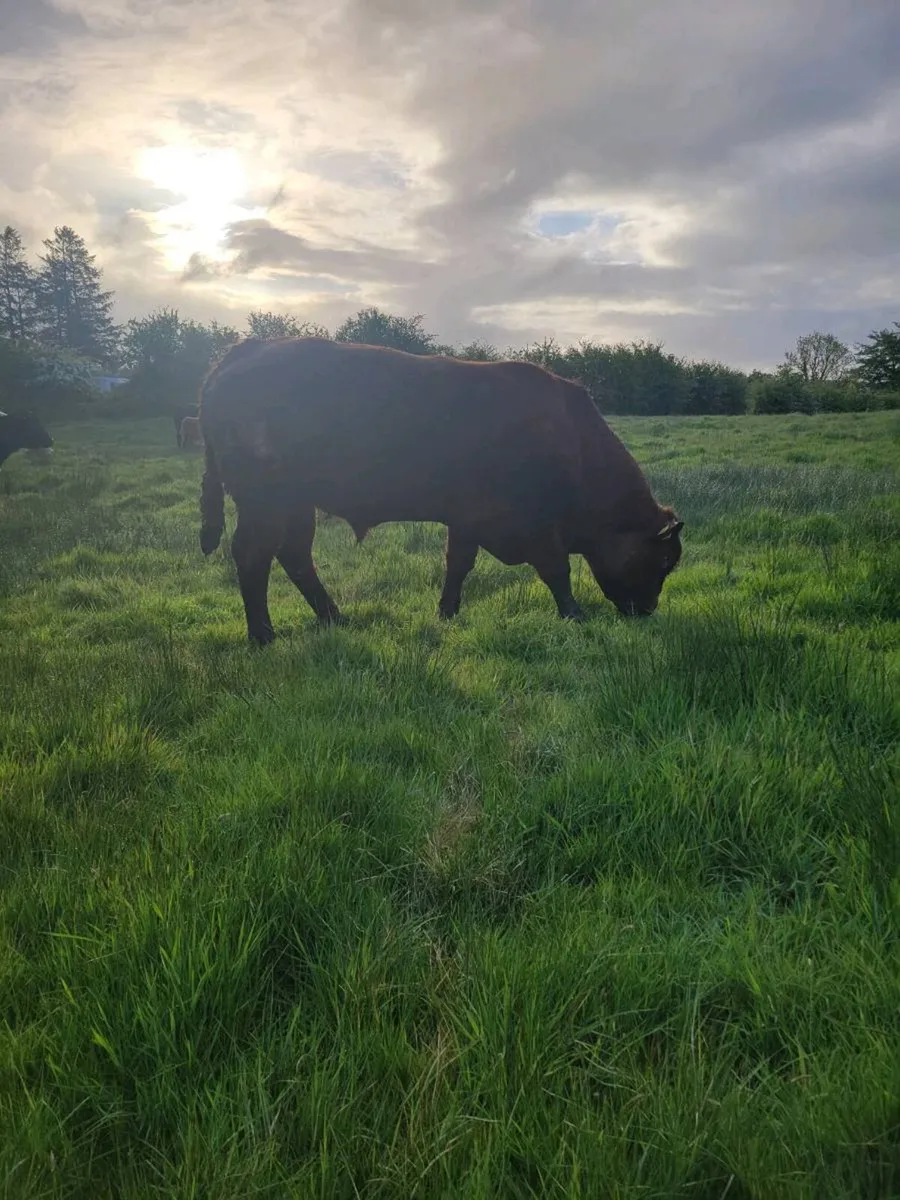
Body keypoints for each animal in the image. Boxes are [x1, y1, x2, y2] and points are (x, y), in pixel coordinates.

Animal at [198, 337, 684, 645]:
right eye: (663, 561)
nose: (648, 610)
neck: (573, 443)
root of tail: (246, 351)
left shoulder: (468, 519)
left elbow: (458, 565)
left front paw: (447, 612)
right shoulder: (537, 526)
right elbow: (556, 570)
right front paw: (574, 615)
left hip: (297, 504)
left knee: (295, 556)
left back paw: (334, 617)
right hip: (266, 502)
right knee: (254, 555)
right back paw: (263, 635)